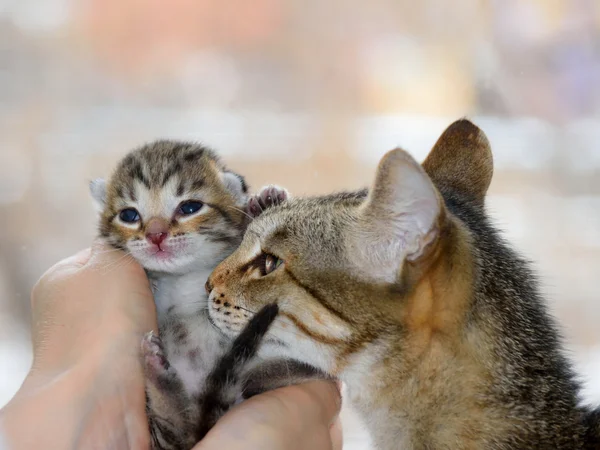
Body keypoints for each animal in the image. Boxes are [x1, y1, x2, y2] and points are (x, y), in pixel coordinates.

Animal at [89, 139, 300, 448]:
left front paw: (266, 202)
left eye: (189, 207)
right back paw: (156, 368)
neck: (182, 277)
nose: (156, 235)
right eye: (129, 215)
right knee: (178, 429)